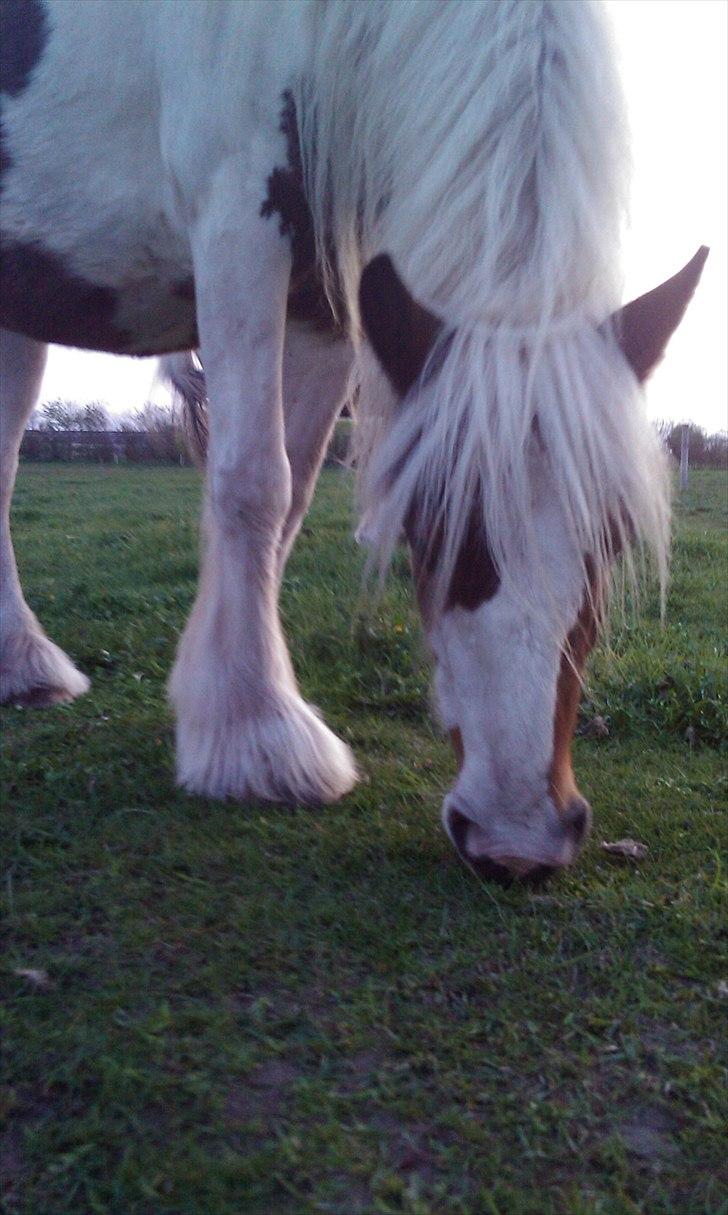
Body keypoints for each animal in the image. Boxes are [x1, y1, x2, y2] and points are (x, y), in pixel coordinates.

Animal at [0, 0, 704, 879]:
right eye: (423, 528)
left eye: (614, 534)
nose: (516, 840)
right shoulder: (237, 223)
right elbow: (252, 481)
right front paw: (259, 736)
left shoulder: (329, 296)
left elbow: (292, 492)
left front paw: (225, 698)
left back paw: (21, 662)